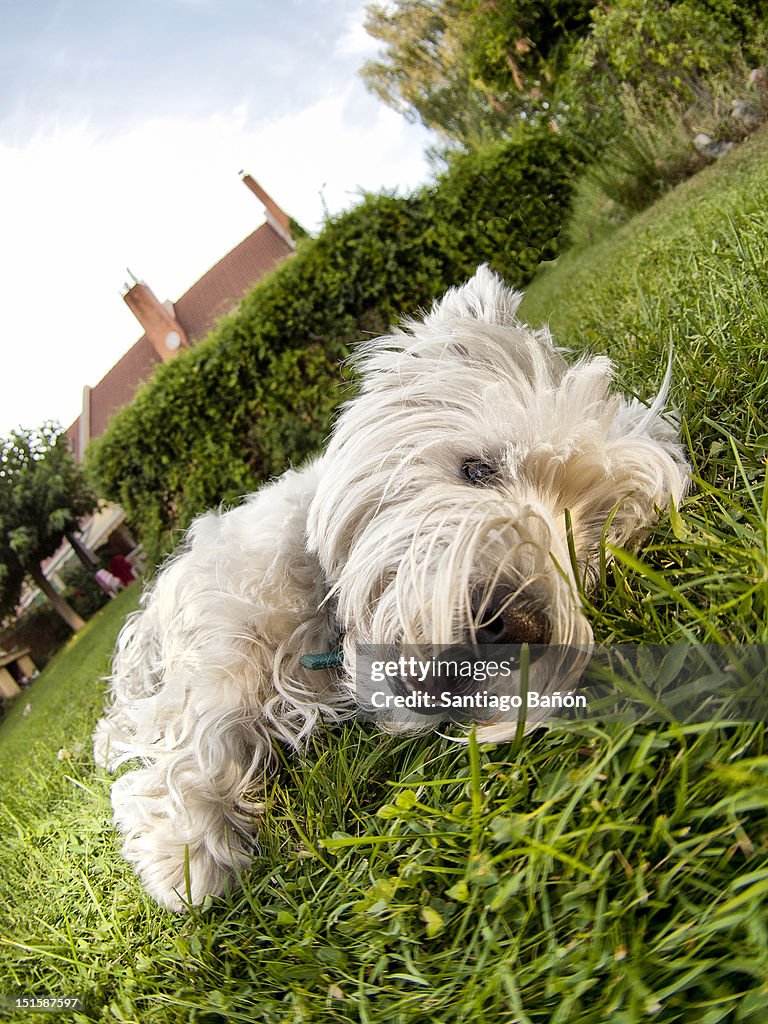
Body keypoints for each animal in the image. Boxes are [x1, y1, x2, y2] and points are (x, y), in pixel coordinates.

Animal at [91, 268, 692, 909]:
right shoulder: (227, 632)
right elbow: (204, 720)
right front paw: (187, 852)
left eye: (589, 544)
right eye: (479, 469)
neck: (324, 639)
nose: (518, 623)